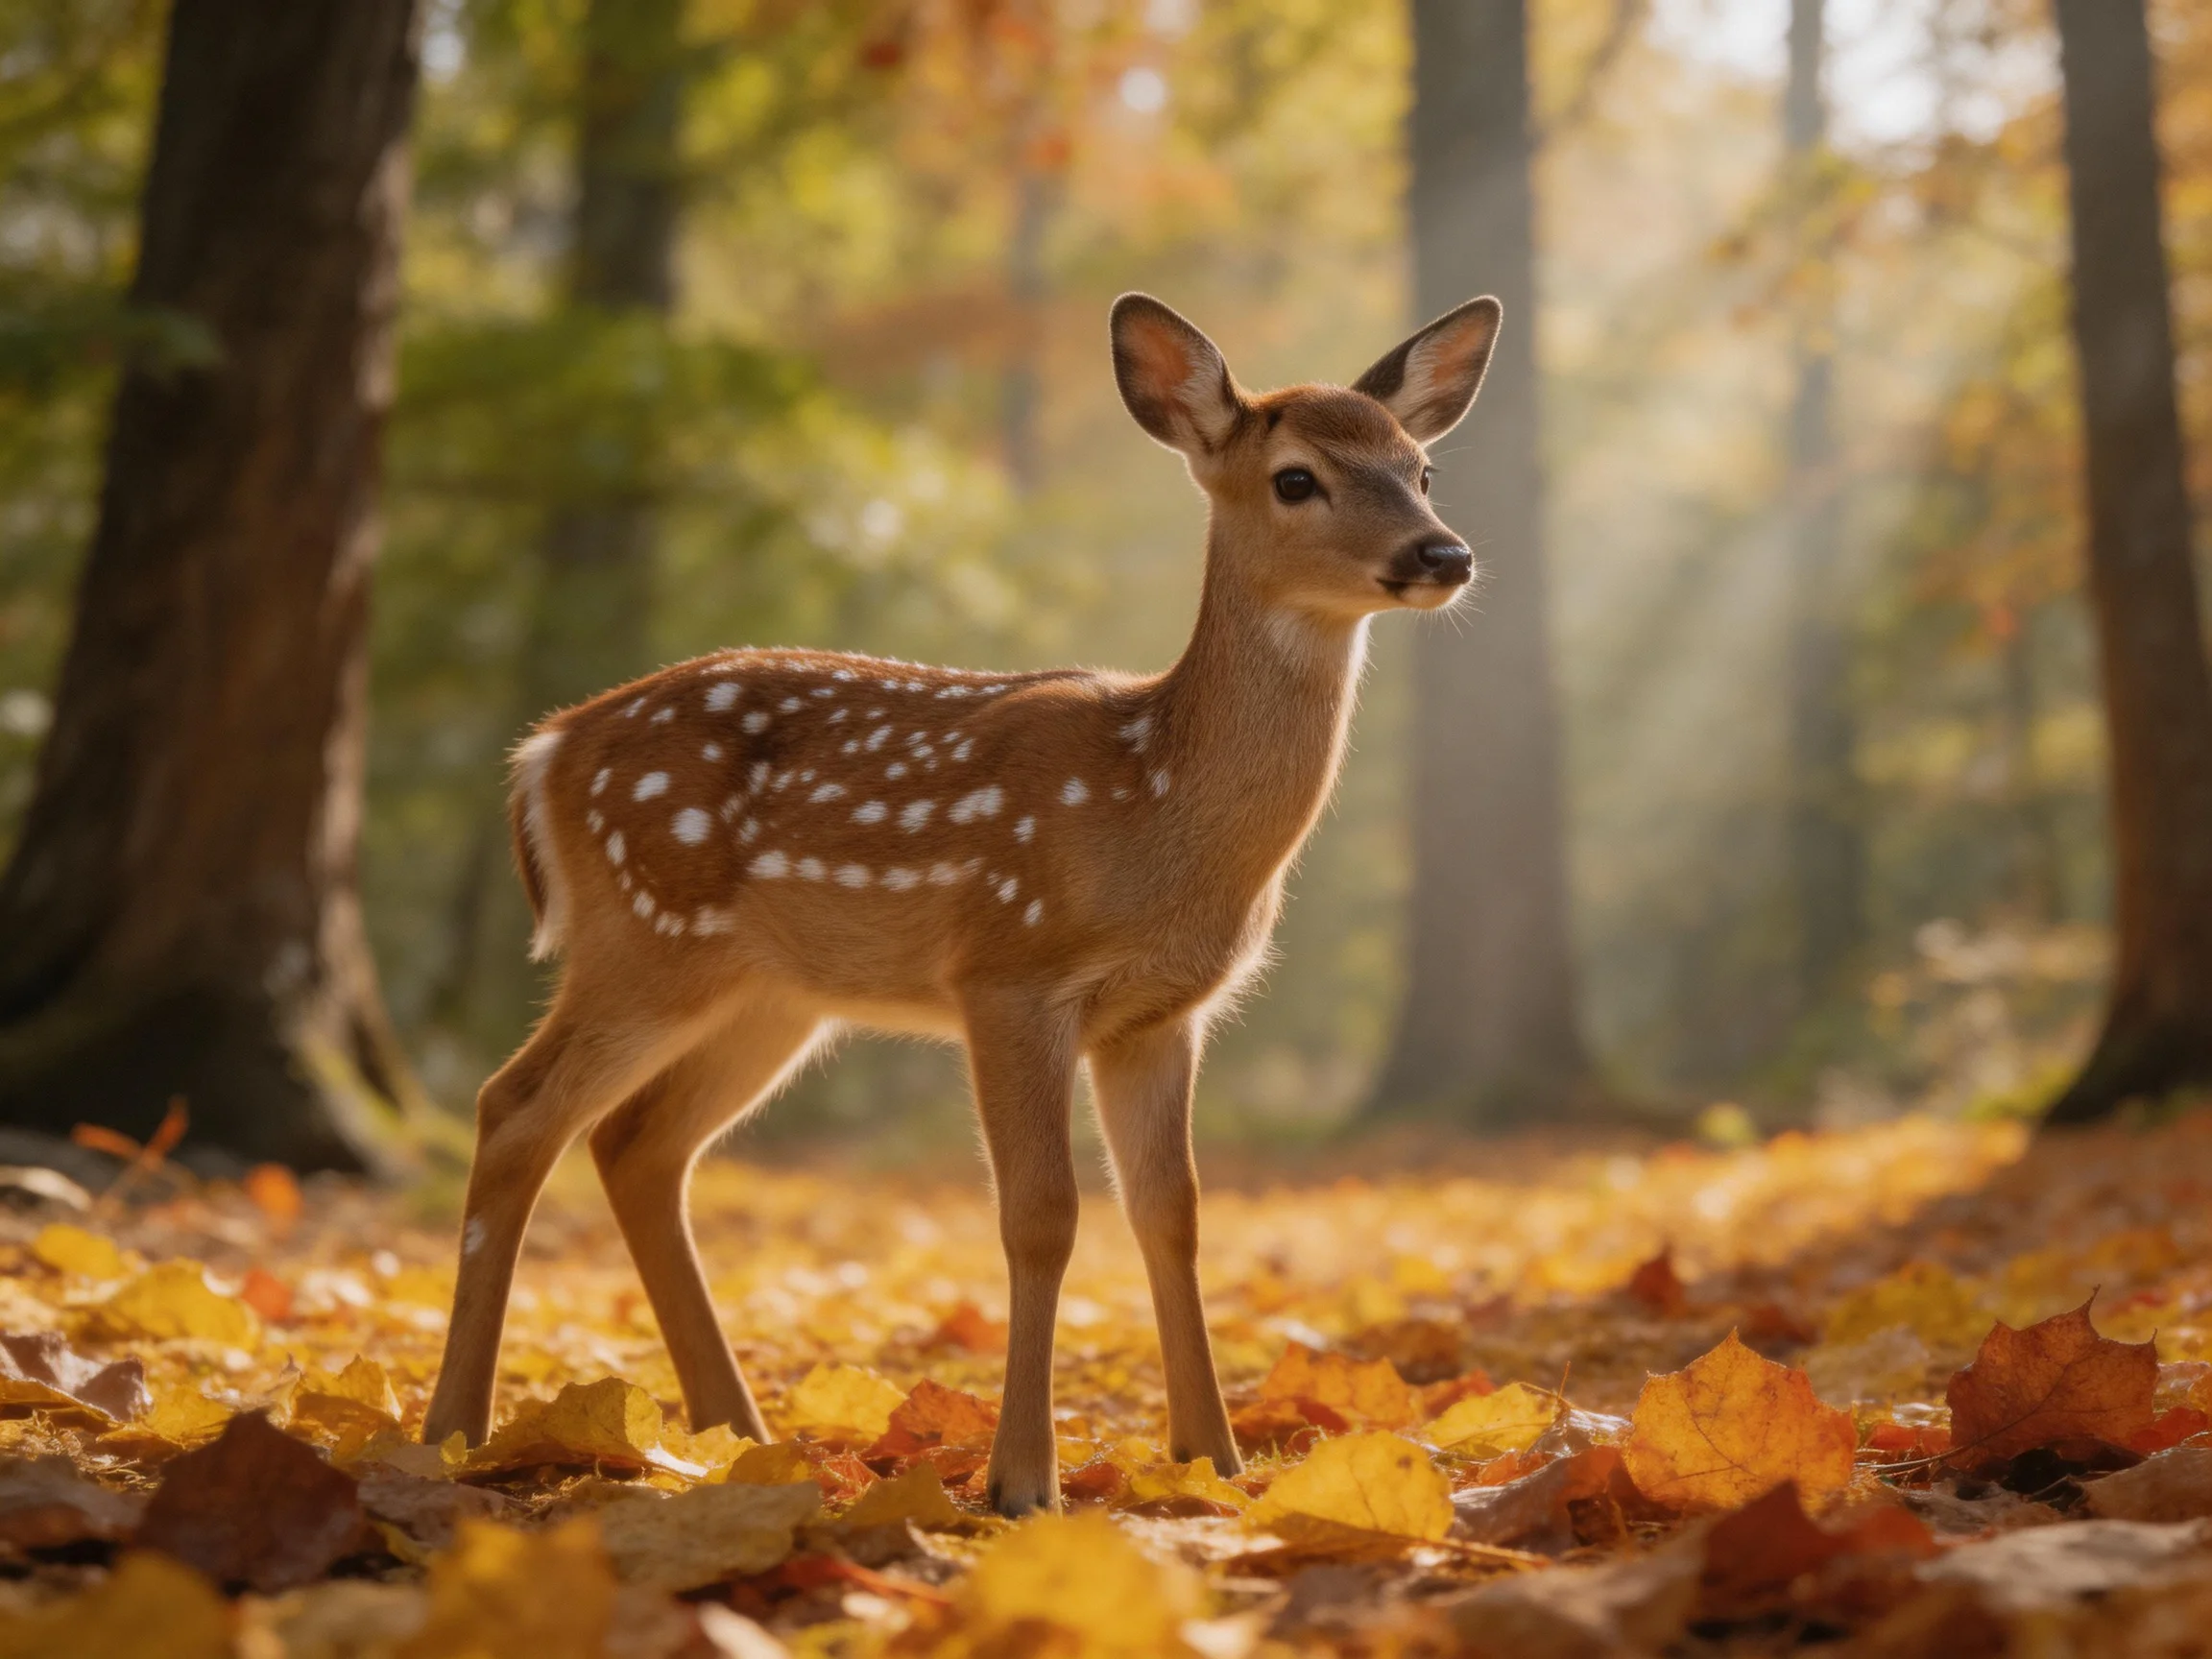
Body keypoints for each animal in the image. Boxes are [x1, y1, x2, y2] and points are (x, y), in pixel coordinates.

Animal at [421, 291, 1501, 1514]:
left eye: (1420, 468)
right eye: (1296, 478)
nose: (1443, 553)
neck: (1156, 805)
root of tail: (542, 754)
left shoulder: (1161, 1015)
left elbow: (1171, 1216)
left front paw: (1213, 1464)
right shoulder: (1008, 971)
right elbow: (1040, 1216)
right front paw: (1023, 1481)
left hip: (771, 996)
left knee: (637, 1145)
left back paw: (735, 1436)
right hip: (641, 939)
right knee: (515, 1109)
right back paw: (454, 1433)